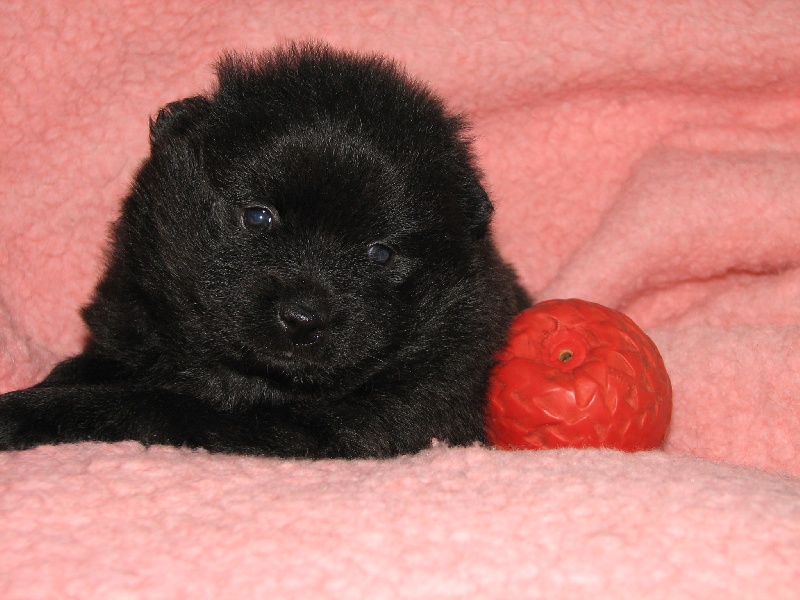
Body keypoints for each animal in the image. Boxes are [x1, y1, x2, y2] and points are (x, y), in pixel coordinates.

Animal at [0, 43, 532, 460]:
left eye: (380, 253)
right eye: (258, 217)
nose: (303, 318)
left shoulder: (342, 425)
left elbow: (153, 404)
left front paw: (23, 412)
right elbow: (87, 366)